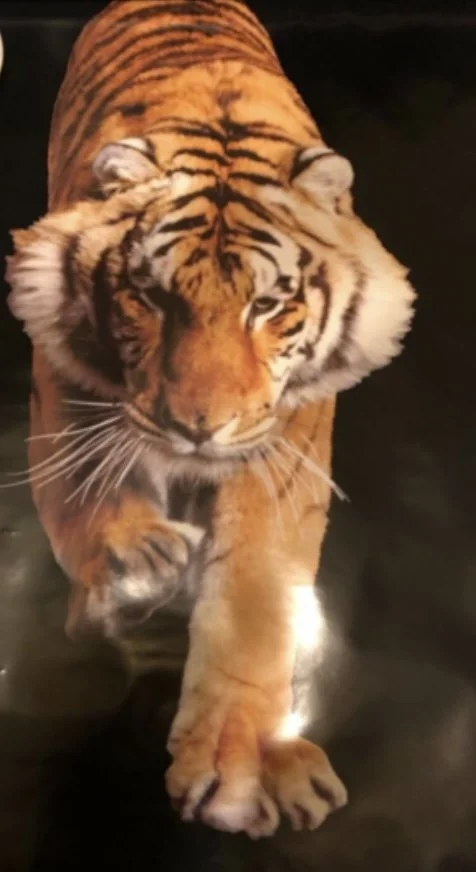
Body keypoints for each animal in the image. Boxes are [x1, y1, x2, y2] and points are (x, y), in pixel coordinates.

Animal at [6, 0, 415, 838]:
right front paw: (135, 559)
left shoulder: (280, 448)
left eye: (267, 305)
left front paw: (238, 765)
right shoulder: (60, 387)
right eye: (152, 297)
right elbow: (83, 496)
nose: (198, 426)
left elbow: (256, 598)